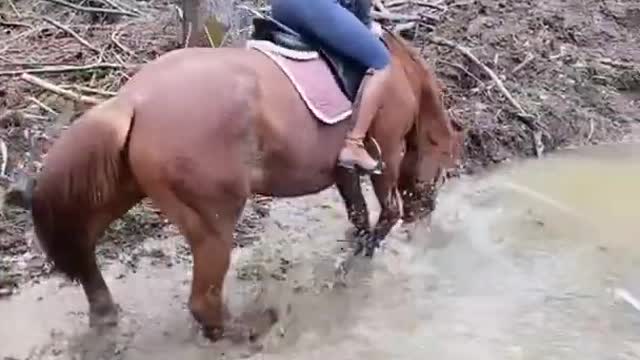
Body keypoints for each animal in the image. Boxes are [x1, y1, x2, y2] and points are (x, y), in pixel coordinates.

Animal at [3, 25, 460, 340]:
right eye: (441, 173)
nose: (426, 218)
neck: (400, 75)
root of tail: (136, 99)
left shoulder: (342, 171)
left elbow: (359, 213)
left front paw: (355, 249)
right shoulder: (387, 152)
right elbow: (386, 213)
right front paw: (363, 254)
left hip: (120, 190)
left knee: (84, 245)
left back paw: (104, 313)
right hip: (214, 221)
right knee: (203, 301)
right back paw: (247, 331)